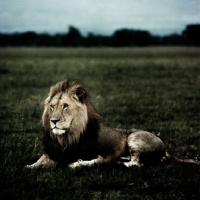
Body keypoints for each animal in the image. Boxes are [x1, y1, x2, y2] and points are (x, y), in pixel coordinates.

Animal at [25, 79, 199, 168]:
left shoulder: (101, 156)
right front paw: (28, 167)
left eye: (65, 106)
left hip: (134, 137)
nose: (53, 121)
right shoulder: (52, 154)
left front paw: (77, 164)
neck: (67, 137)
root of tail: (166, 150)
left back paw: (121, 163)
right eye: (52, 107)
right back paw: (122, 159)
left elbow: (93, 162)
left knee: (137, 163)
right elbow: (38, 163)